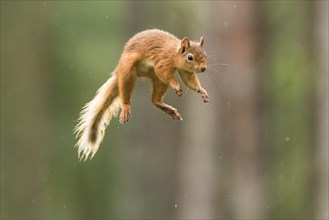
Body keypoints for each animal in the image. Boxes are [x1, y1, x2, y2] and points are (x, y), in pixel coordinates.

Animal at [74, 29, 208, 160]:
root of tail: (118, 71)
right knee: (126, 92)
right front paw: (176, 85)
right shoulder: (162, 61)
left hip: (158, 80)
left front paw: (202, 90)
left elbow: (189, 81)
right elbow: (164, 72)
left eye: (205, 55)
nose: (203, 68)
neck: (175, 54)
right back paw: (126, 107)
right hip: (128, 72)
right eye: (190, 57)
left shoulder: (185, 71)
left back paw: (169, 110)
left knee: (155, 100)